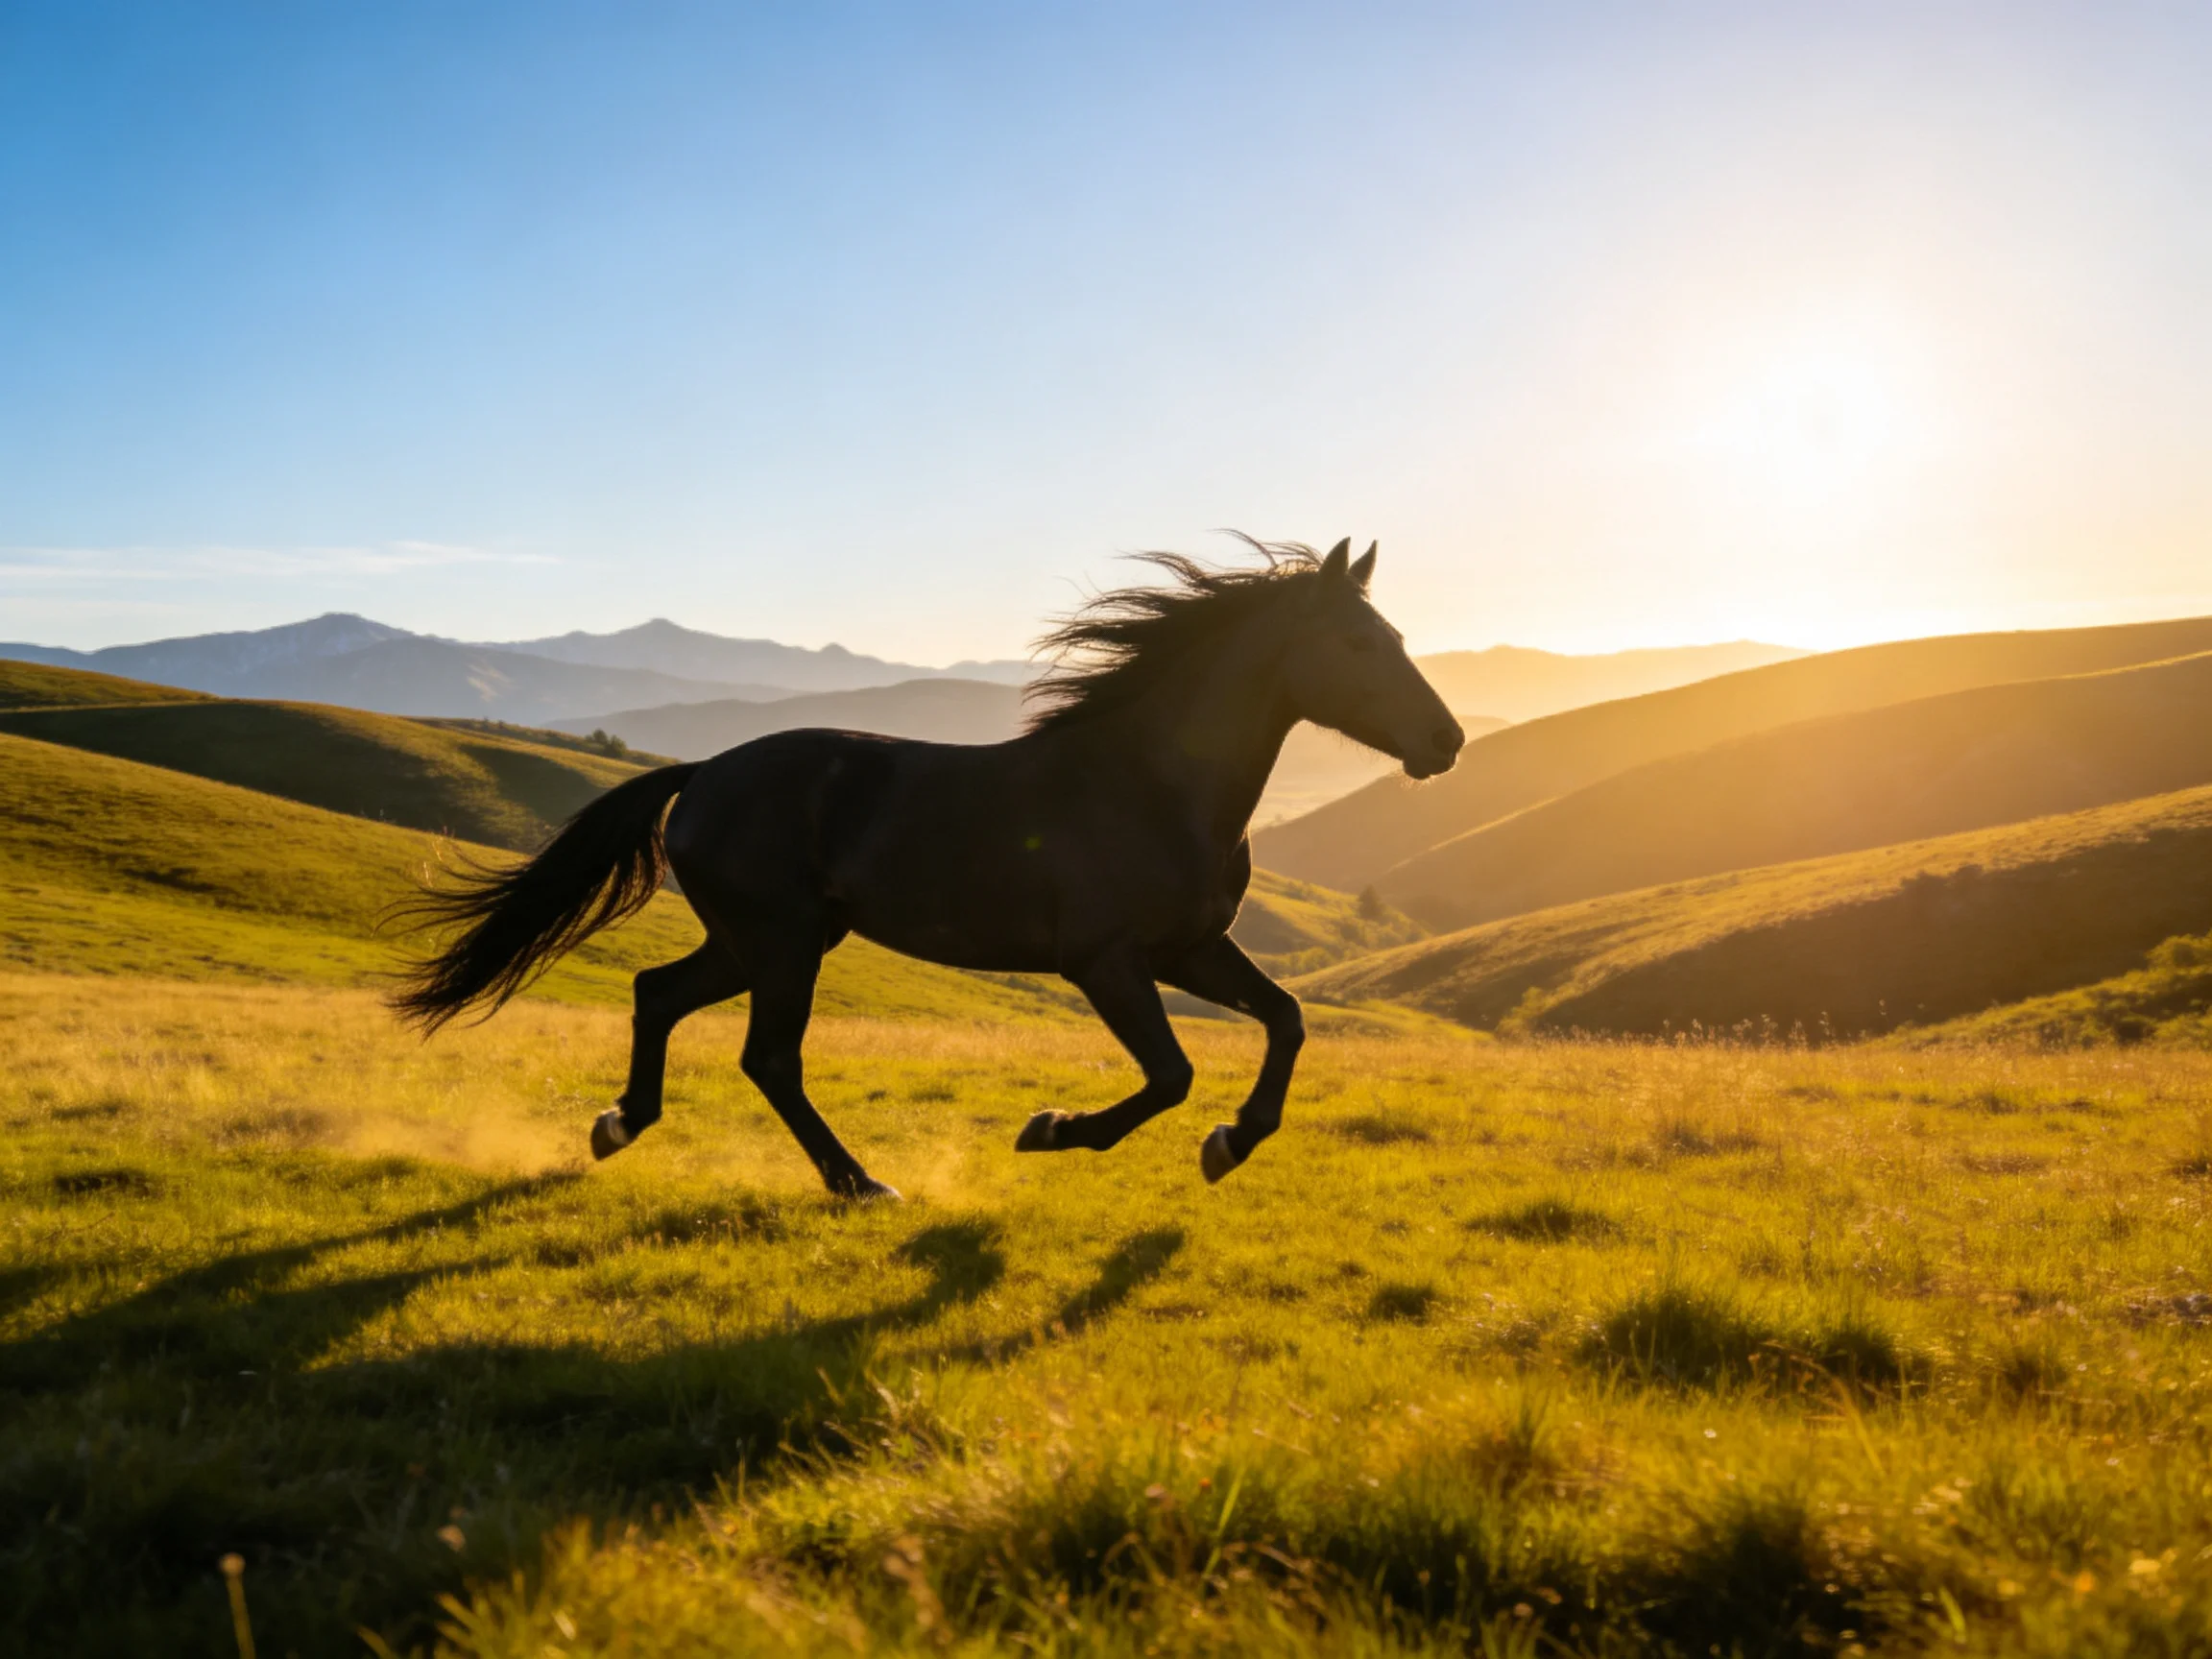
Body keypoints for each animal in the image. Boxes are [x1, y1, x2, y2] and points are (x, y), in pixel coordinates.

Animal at [389, 537, 1463, 1199]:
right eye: (1360, 641)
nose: (1446, 743)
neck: (1152, 784)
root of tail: (702, 776)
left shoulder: (1190, 949)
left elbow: (1287, 1020)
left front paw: (1232, 1144)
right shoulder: (1107, 962)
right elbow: (1170, 1073)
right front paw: (1051, 1129)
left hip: (760, 939)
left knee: (659, 992)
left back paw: (620, 1126)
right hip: (782, 942)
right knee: (767, 1057)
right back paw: (860, 1183)